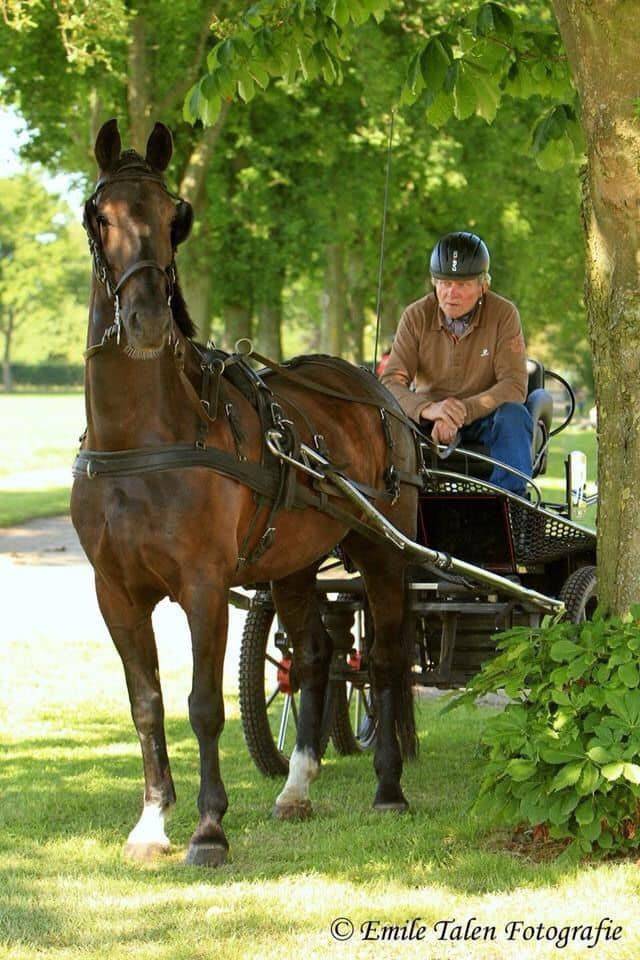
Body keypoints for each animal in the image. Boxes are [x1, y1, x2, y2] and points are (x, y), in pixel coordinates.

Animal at [72, 120, 420, 872]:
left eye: (173, 216)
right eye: (99, 215)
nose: (146, 321)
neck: (142, 440)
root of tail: (375, 389)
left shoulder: (203, 585)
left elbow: (204, 704)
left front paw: (208, 828)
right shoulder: (115, 591)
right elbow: (146, 703)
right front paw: (151, 823)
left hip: (381, 548)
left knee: (382, 660)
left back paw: (387, 786)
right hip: (292, 562)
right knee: (315, 654)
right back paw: (297, 786)